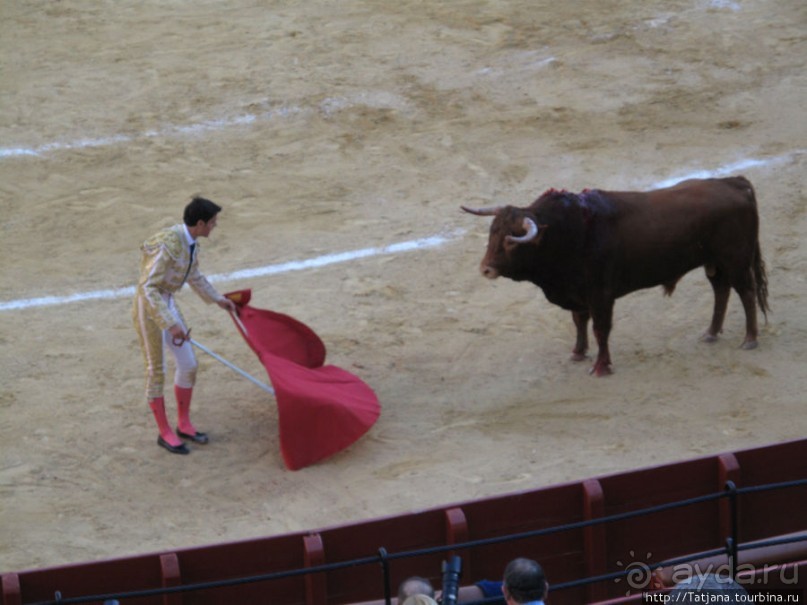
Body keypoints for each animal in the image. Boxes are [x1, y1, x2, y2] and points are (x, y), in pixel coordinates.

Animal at [460, 175, 772, 376]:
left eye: (512, 241)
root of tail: (736, 183)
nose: (485, 269)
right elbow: (579, 322)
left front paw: (601, 366)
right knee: (721, 291)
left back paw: (749, 339)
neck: (567, 232)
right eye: (492, 233)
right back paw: (710, 334)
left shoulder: (601, 295)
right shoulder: (578, 292)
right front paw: (578, 353)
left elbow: (601, 328)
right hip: (714, 263)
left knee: (746, 292)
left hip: (736, 260)